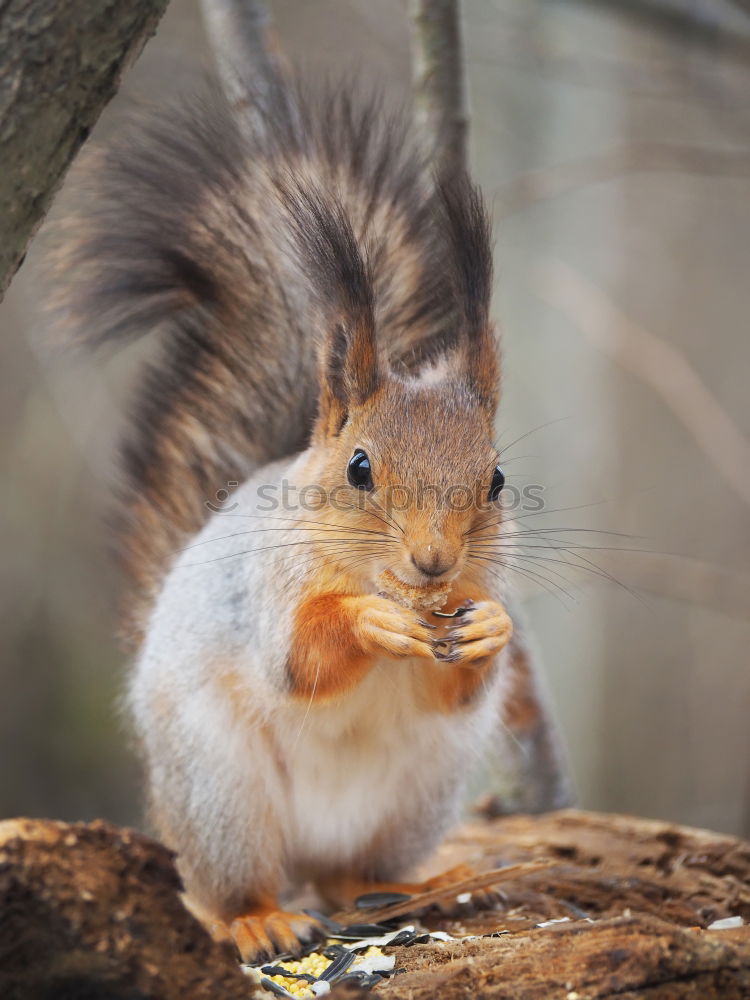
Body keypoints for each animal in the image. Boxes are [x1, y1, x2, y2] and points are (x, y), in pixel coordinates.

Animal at [48, 70, 548, 960]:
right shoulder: (268, 588)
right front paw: (369, 623)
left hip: (417, 793)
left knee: (351, 876)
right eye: (359, 468)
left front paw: (487, 628)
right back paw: (259, 919)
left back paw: (417, 883)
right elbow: (299, 659)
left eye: (495, 479)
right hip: (221, 793)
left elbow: (460, 684)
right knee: (231, 886)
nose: (434, 562)